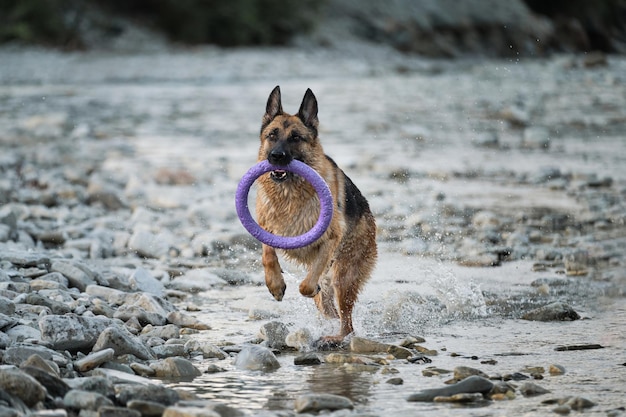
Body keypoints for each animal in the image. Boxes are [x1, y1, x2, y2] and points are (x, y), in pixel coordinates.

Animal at [254, 86, 376, 342]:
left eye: (295, 138)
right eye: (272, 135)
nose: (276, 156)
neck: (290, 194)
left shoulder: (330, 239)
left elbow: (308, 284)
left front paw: (308, 287)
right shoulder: (267, 229)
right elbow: (268, 255)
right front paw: (275, 285)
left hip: (344, 277)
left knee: (346, 322)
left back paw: (335, 338)